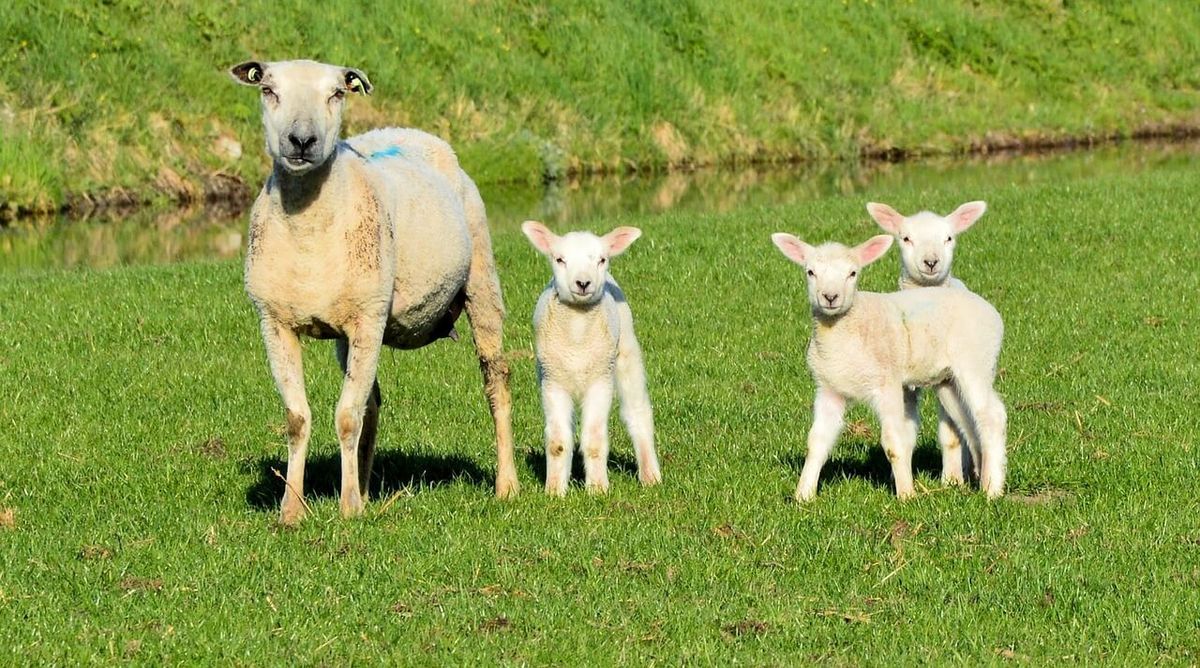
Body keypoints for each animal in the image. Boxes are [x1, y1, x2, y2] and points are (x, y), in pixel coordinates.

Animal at [229, 59, 518, 524]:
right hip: (355, 326)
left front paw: (348, 509)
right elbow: (298, 418)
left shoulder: (368, 317)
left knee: (496, 380)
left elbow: (346, 417)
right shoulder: (274, 322)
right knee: (372, 402)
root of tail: (409, 131)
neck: (307, 231)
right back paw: (364, 486)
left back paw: (506, 485)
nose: (302, 140)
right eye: (268, 90)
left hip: (481, 283)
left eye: (336, 94)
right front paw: (292, 510)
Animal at [521, 221, 661, 495]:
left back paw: (650, 474)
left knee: (637, 411)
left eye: (601, 259)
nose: (583, 283)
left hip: (625, 351)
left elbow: (595, 440)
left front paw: (597, 489)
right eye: (559, 259)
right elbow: (557, 443)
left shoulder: (600, 381)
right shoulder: (552, 382)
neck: (577, 338)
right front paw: (554, 491)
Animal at [770, 232, 1007, 500]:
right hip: (948, 381)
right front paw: (803, 495)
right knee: (968, 420)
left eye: (853, 273)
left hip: (975, 361)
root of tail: (990, 310)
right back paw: (980, 476)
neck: (844, 331)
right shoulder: (829, 389)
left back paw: (992, 489)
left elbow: (895, 443)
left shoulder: (887, 384)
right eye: (810, 272)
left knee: (992, 415)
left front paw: (906, 495)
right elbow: (816, 443)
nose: (830, 298)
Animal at [866, 200, 988, 484]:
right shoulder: (905, 386)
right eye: (906, 238)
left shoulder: (945, 378)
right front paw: (899, 477)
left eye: (949, 238)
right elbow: (906, 433)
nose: (931, 262)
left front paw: (951, 481)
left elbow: (951, 434)